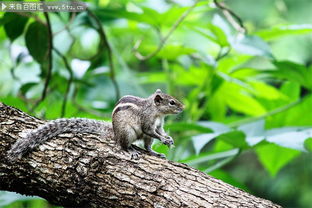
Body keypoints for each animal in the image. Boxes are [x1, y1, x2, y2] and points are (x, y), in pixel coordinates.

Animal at [6, 89, 183, 161]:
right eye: (172, 102)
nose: (183, 107)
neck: (157, 111)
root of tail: (114, 132)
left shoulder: (159, 124)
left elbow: (159, 131)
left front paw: (168, 138)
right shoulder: (147, 121)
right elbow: (150, 130)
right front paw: (165, 139)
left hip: (143, 138)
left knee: (147, 146)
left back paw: (155, 153)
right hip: (126, 132)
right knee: (123, 145)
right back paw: (131, 150)